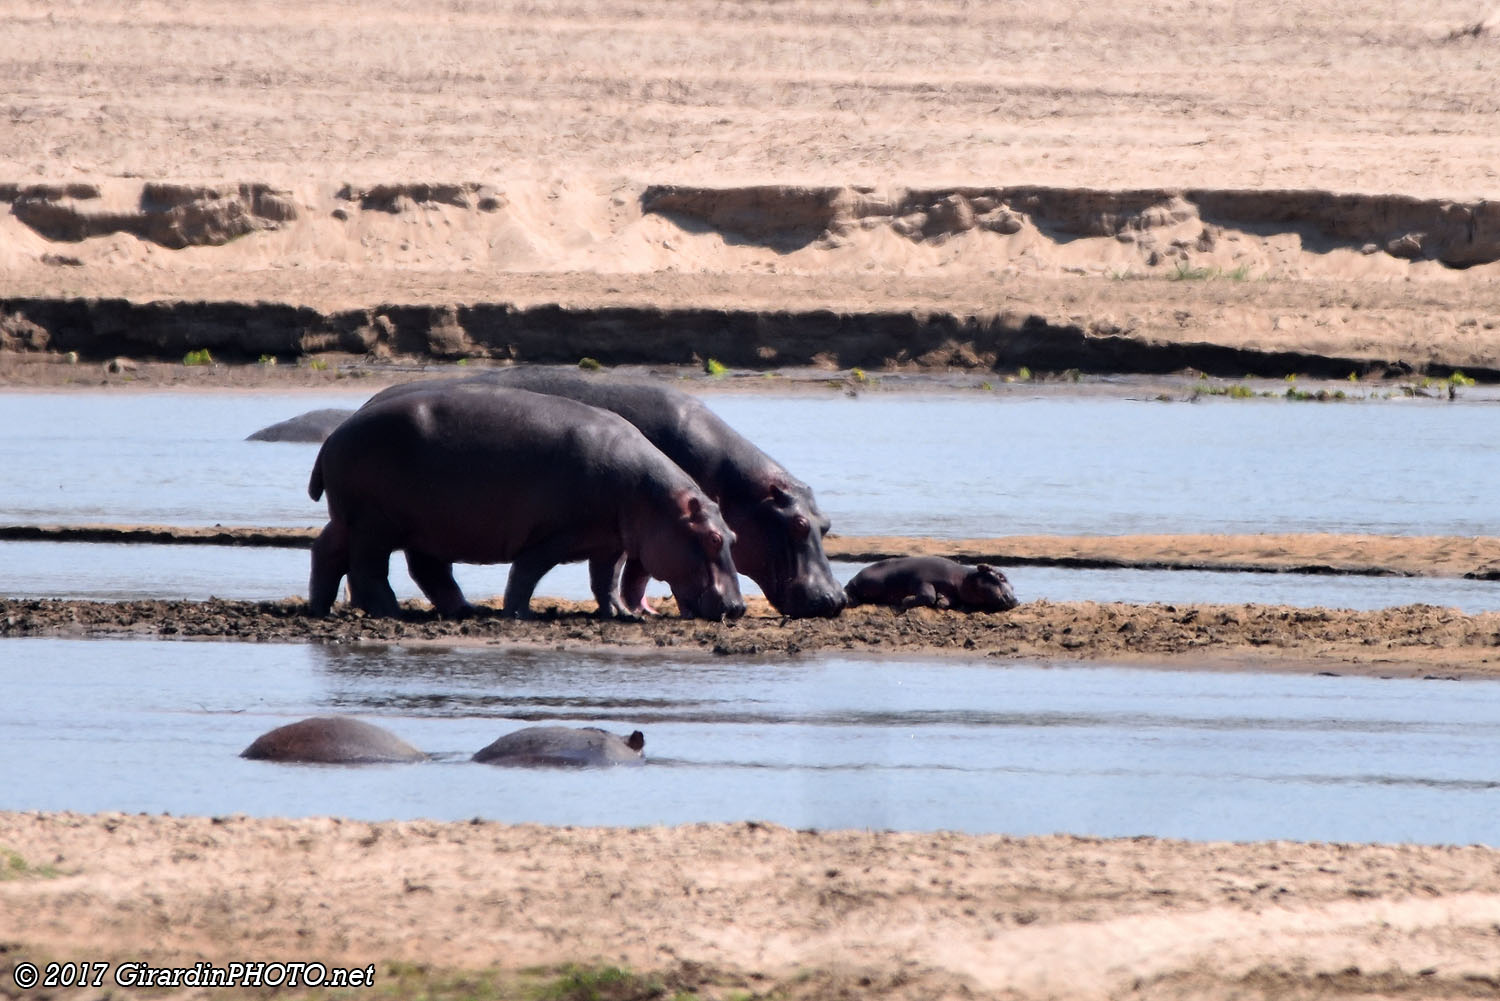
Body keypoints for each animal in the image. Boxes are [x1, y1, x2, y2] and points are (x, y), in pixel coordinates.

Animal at [309, 381, 744, 621]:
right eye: (712, 539)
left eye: (733, 537)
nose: (738, 607)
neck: (655, 500)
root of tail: (335, 435)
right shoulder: (553, 536)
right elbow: (527, 571)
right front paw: (519, 614)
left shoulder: (610, 542)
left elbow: (605, 580)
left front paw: (620, 614)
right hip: (374, 524)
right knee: (368, 570)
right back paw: (391, 611)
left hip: (391, 524)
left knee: (333, 552)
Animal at [369, 367, 852, 618]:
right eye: (798, 524)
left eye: (826, 524)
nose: (836, 598)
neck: (737, 487)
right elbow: (633, 569)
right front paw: (639, 610)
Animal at [846, 555, 1020, 612]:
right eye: (1001, 576)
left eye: (1013, 586)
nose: (1015, 599)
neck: (964, 578)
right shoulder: (924, 580)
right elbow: (928, 594)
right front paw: (905, 600)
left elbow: (946, 600)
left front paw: (941, 600)